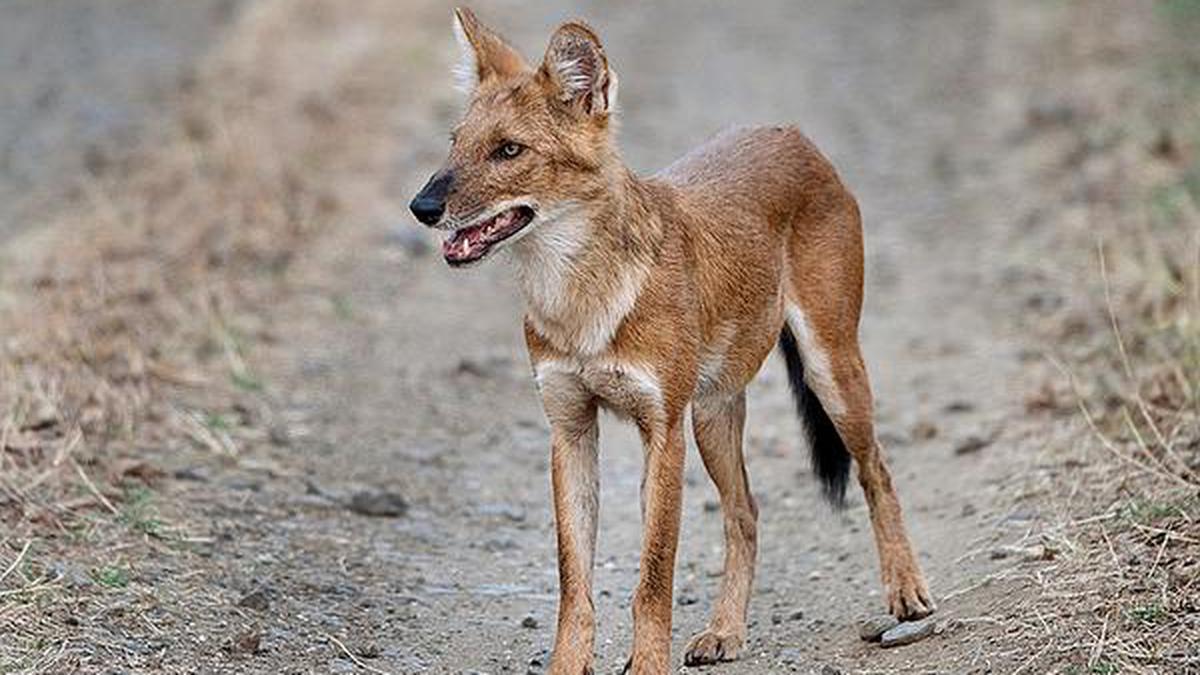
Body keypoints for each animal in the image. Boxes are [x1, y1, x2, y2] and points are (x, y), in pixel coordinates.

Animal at [412, 7, 936, 667]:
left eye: (510, 150)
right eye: (454, 144)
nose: (421, 206)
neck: (578, 298)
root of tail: (792, 133)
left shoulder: (662, 429)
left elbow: (653, 577)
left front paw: (646, 666)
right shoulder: (570, 429)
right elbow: (574, 580)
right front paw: (571, 665)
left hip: (829, 368)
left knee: (876, 470)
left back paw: (905, 590)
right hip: (713, 413)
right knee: (745, 512)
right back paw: (725, 631)